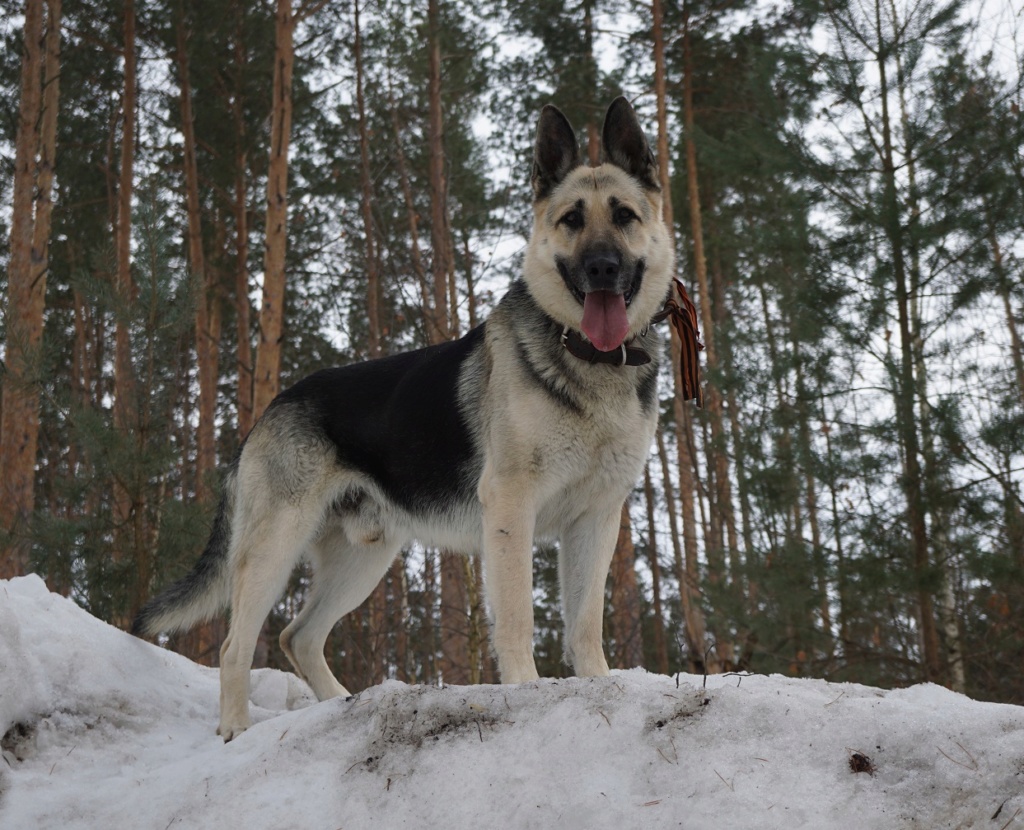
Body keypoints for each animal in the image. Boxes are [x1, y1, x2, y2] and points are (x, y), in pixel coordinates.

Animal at [134, 97, 679, 740]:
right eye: (572, 219)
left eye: (623, 216)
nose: (601, 268)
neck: (588, 361)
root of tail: (272, 406)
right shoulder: (511, 507)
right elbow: (516, 614)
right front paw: (526, 689)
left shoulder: (596, 518)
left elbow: (586, 621)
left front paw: (597, 684)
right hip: (275, 546)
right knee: (234, 645)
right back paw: (237, 730)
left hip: (365, 557)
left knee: (298, 635)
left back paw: (341, 704)